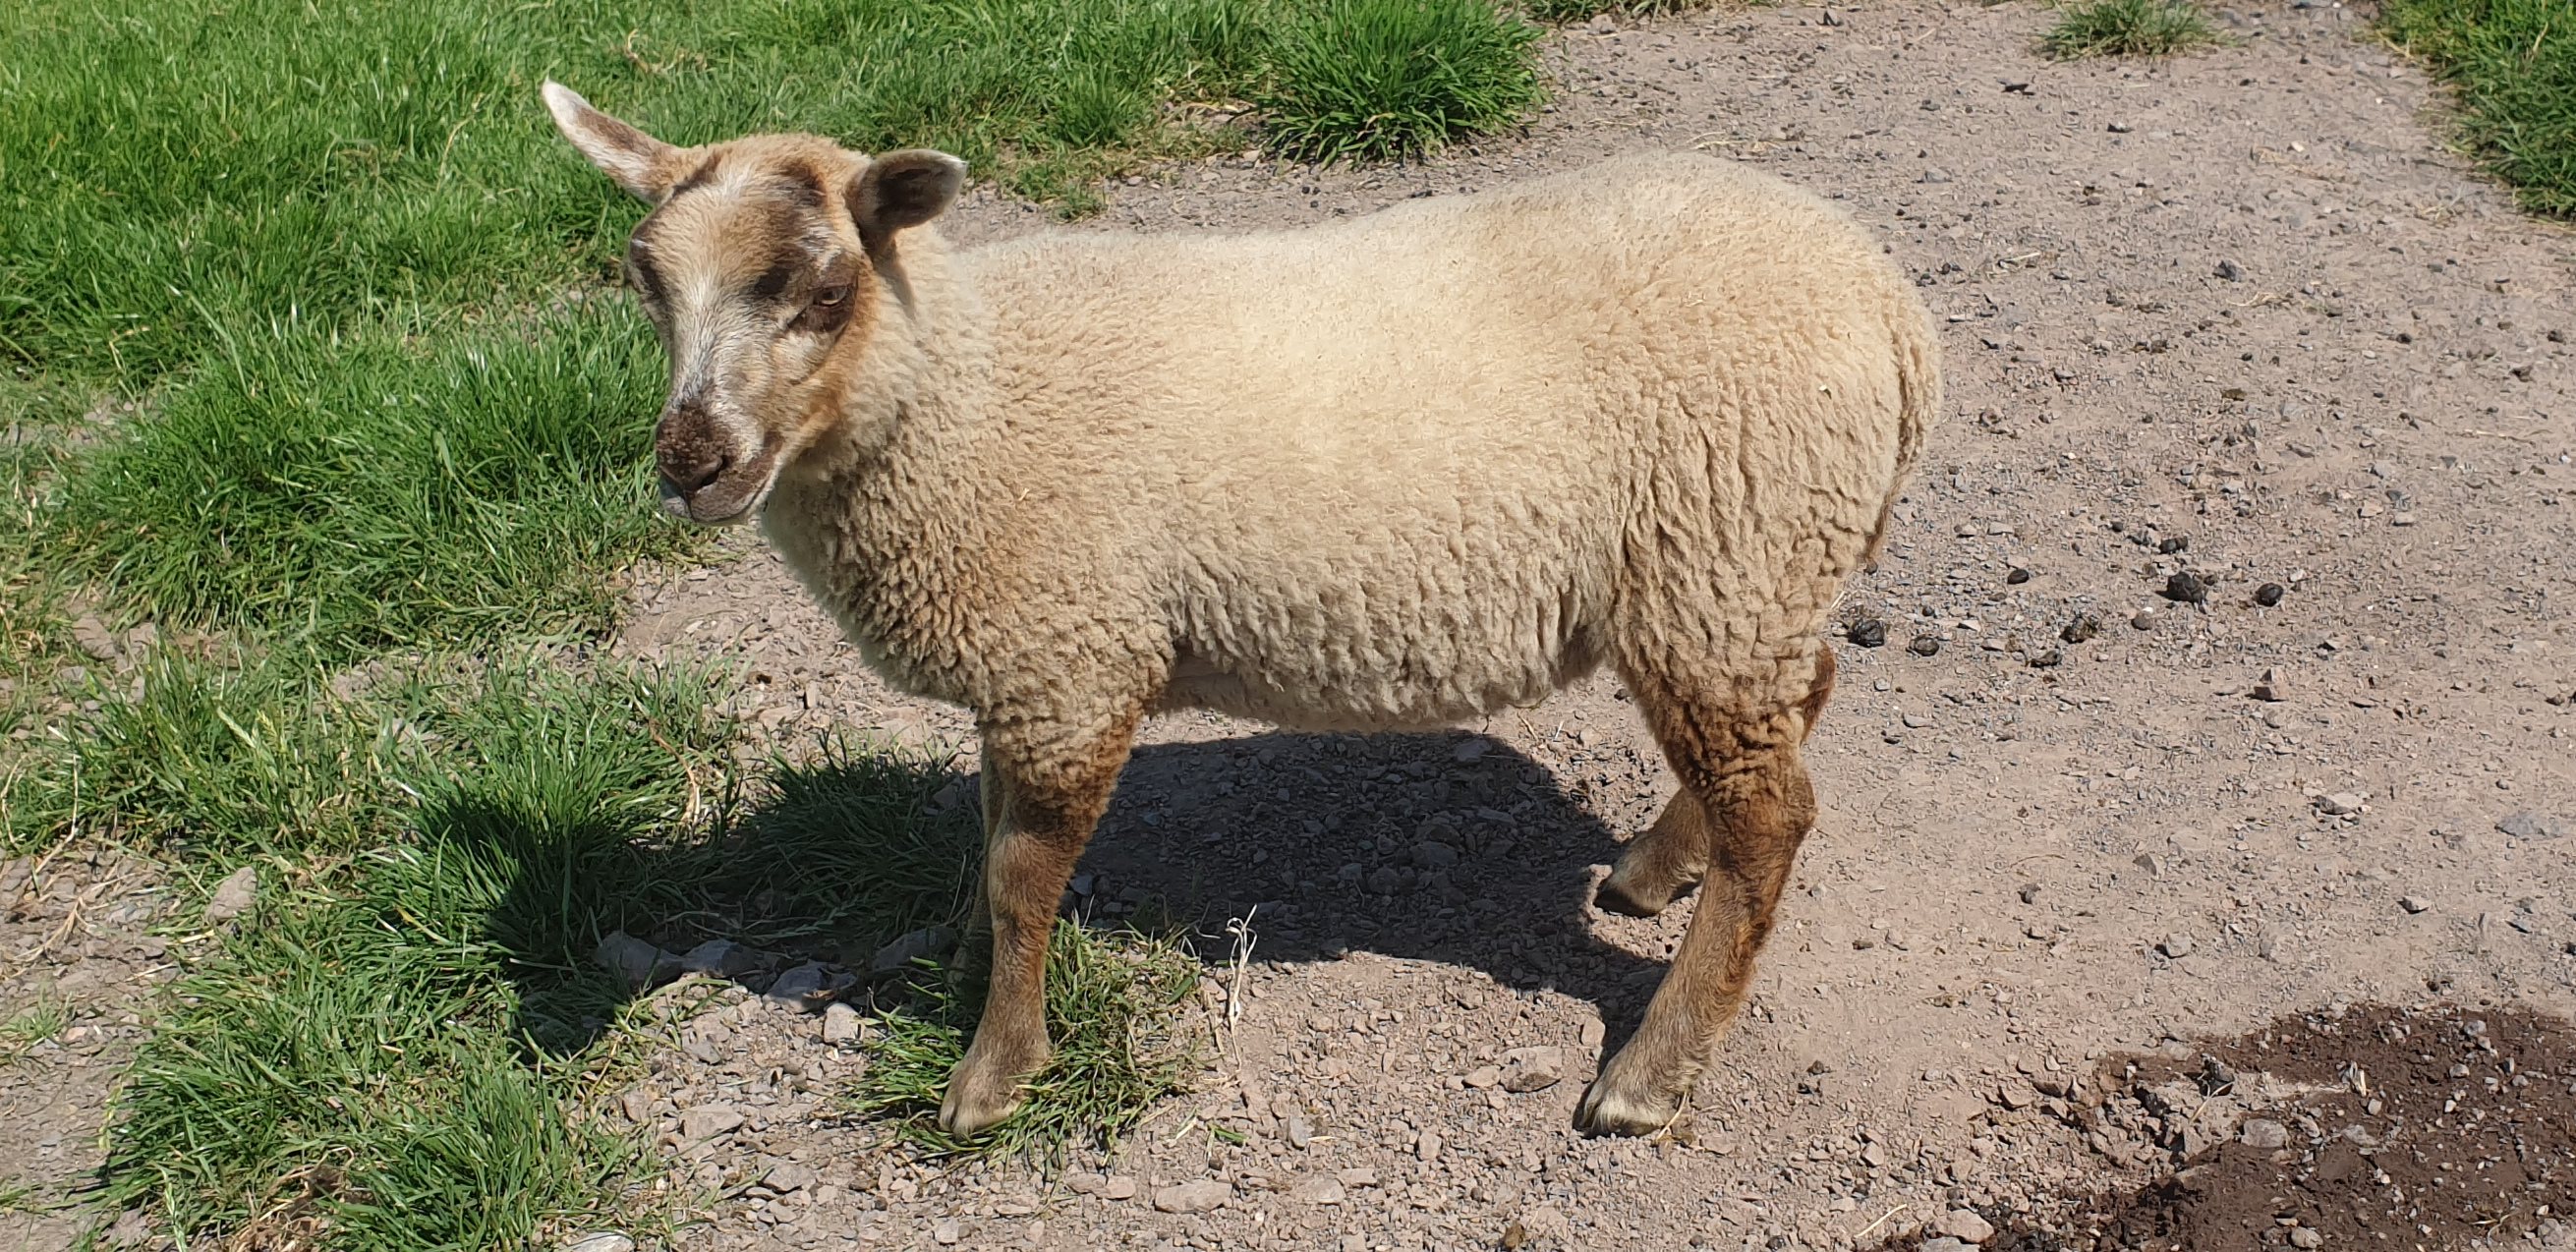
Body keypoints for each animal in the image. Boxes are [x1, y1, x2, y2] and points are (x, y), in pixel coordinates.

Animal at [541, 80, 1939, 1139]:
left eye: (823, 291)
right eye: (646, 283)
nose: (691, 460)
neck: (963, 390)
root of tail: (1884, 298)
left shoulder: (1069, 665)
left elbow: (1023, 873)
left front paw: (994, 1071)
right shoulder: (1025, 665)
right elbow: (986, 846)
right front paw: (959, 964)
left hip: (1721, 554)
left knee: (1773, 816)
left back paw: (1650, 1070)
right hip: (1746, 580)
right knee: (1797, 704)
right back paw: (1654, 868)